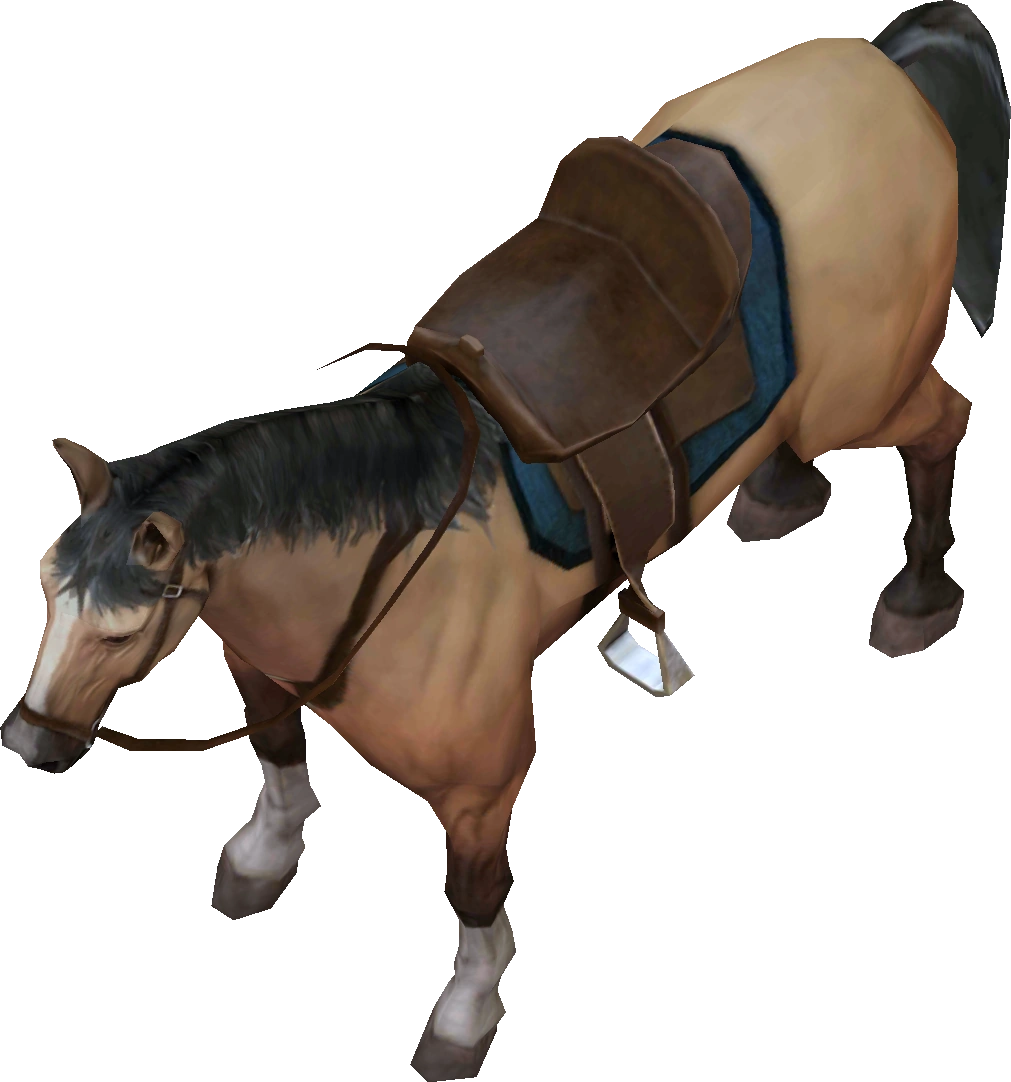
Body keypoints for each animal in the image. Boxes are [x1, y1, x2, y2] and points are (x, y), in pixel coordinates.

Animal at [4, 21, 1005, 1081]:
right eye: (46, 598)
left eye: (119, 634)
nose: (28, 744)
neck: (380, 566)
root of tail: (880, 62)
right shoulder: (260, 673)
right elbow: (278, 761)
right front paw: (261, 859)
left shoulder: (479, 790)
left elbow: (474, 899)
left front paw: (462, 1020)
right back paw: (778, 492)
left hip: (871, 395)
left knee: (942, 426)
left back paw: (916, 597)